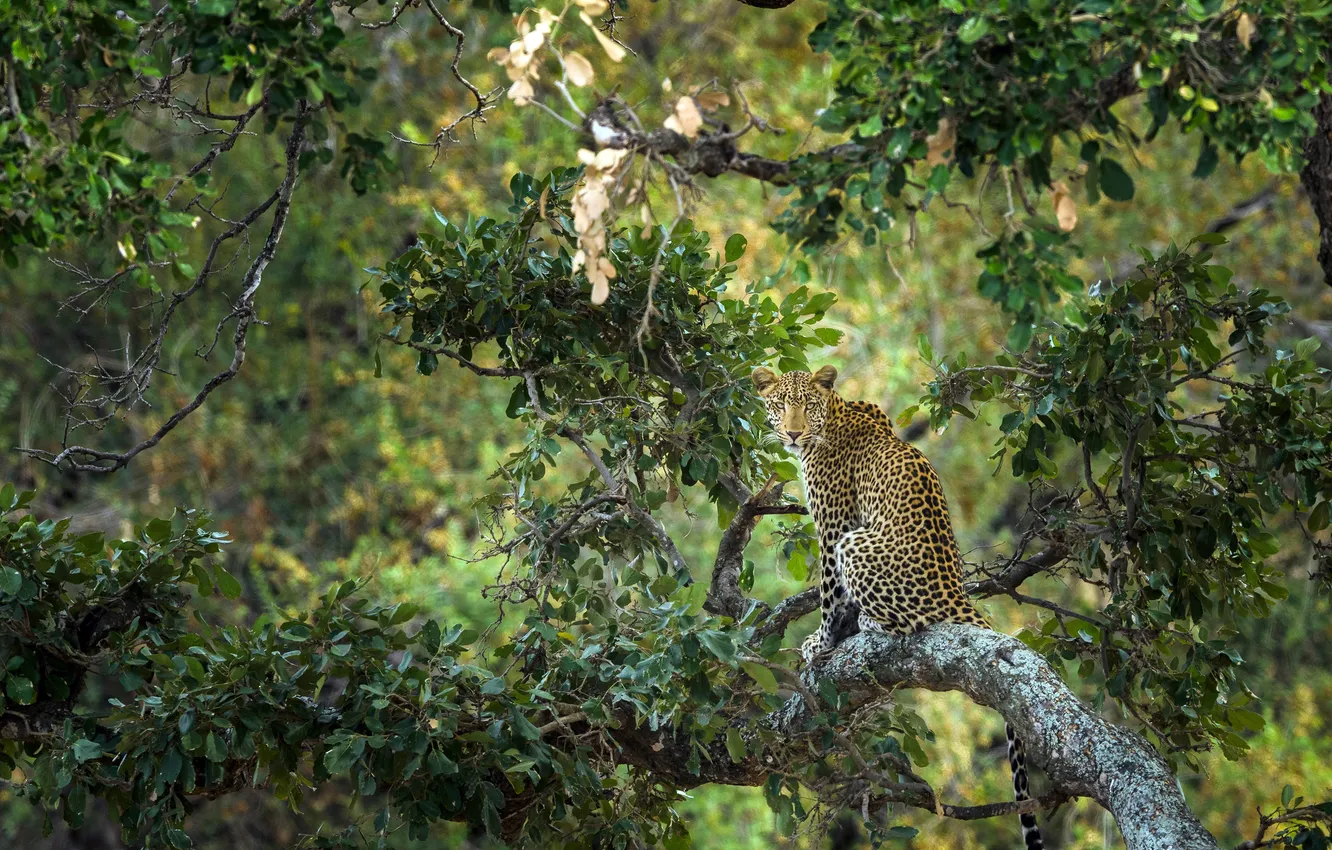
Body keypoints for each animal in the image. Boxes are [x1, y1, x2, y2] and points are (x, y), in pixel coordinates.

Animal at [752, 364, 1042, 850]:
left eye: (807, 405)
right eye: (778, 405)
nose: (792, 433)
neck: (834, 416)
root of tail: (954, 592)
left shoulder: (836, 526)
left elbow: (830, 594)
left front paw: (823, 641)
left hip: (858, 542)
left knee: (907, 623)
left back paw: (870, 622)